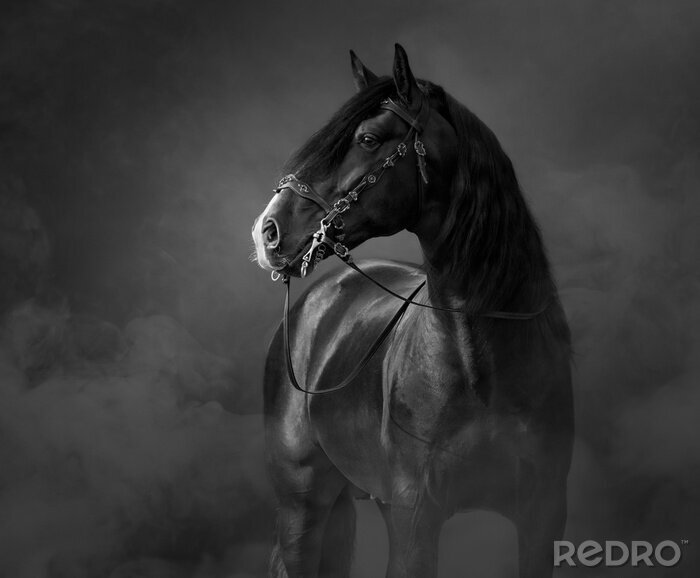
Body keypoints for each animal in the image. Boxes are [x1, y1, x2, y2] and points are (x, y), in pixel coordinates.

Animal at [251, 44, 573, 578]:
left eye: (367, 138)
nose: (268, 231)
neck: (480, 368)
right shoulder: (415, 518)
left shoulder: (543, 515)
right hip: (302, 505)